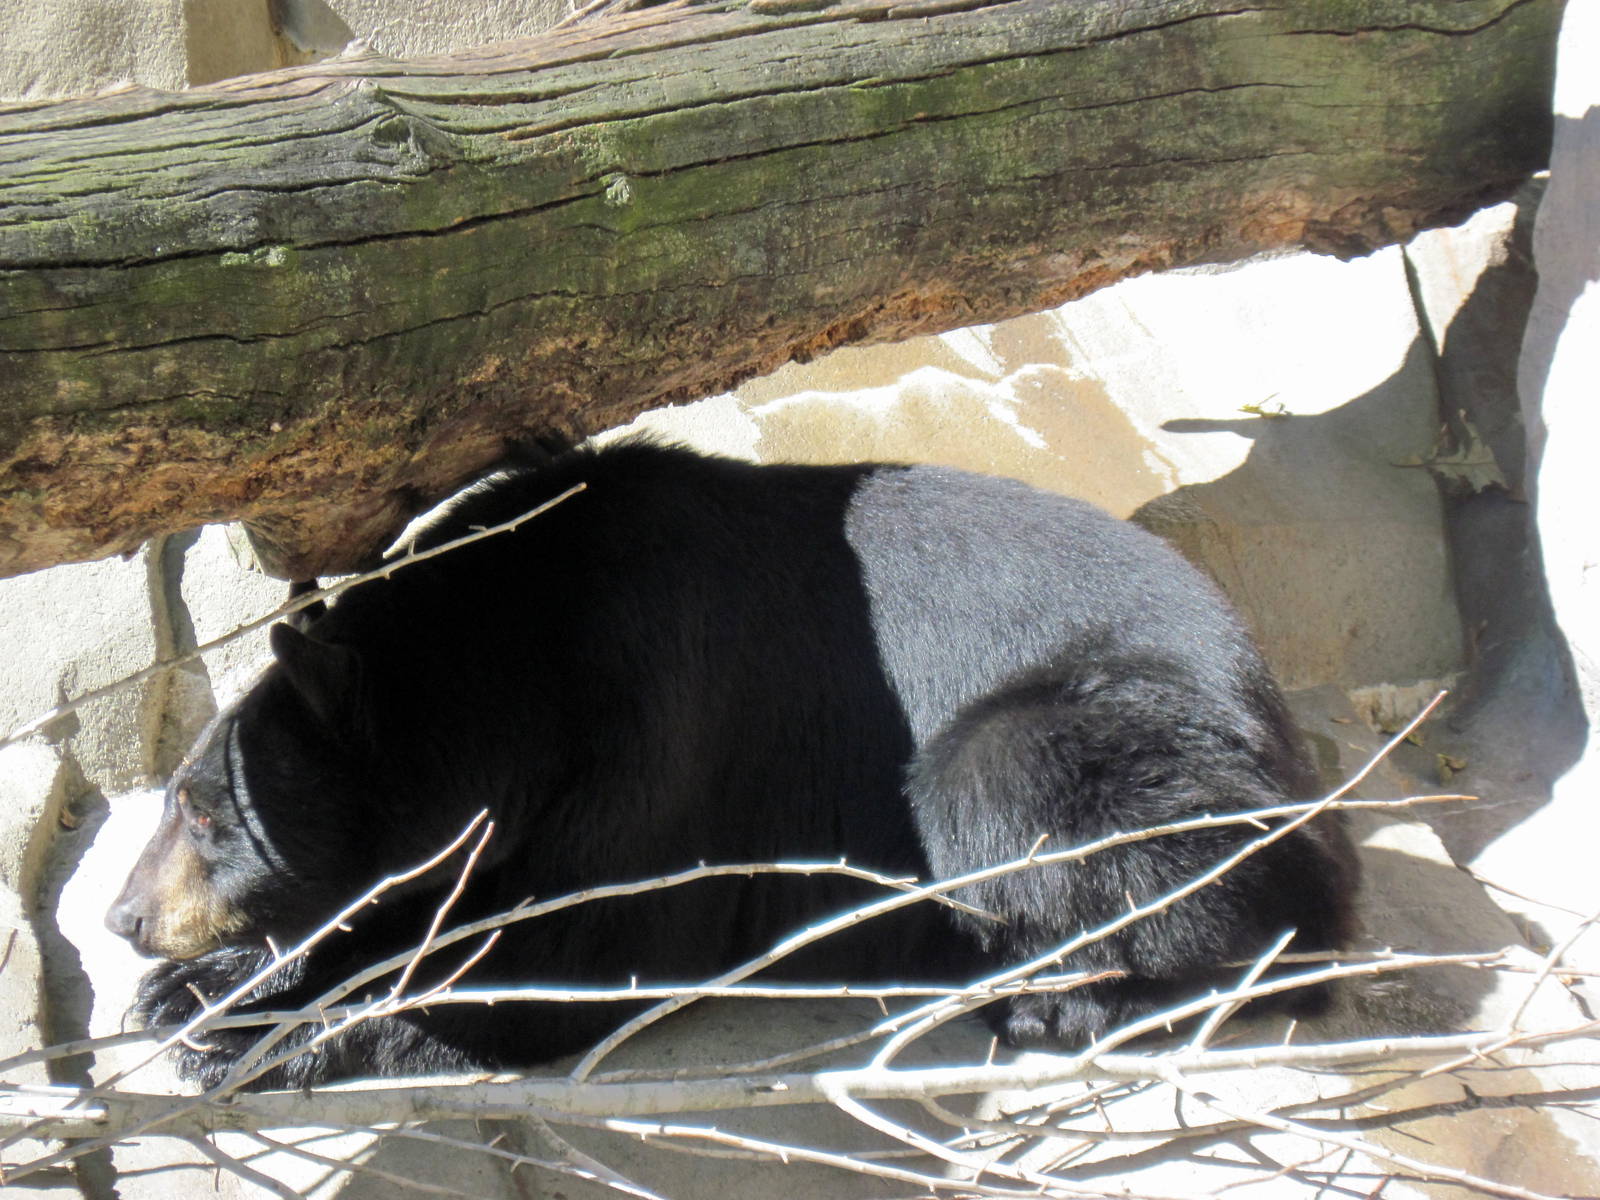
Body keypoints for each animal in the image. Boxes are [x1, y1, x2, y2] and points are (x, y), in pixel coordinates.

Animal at [106, 441, 1357, 1089]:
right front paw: (202, 988)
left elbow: (580, 956)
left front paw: (255, 1035)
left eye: (204, 815)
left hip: (1086, 739)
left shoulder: (660, 734)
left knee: (1065, 818)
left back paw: (1064, 999)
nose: (124, 915)